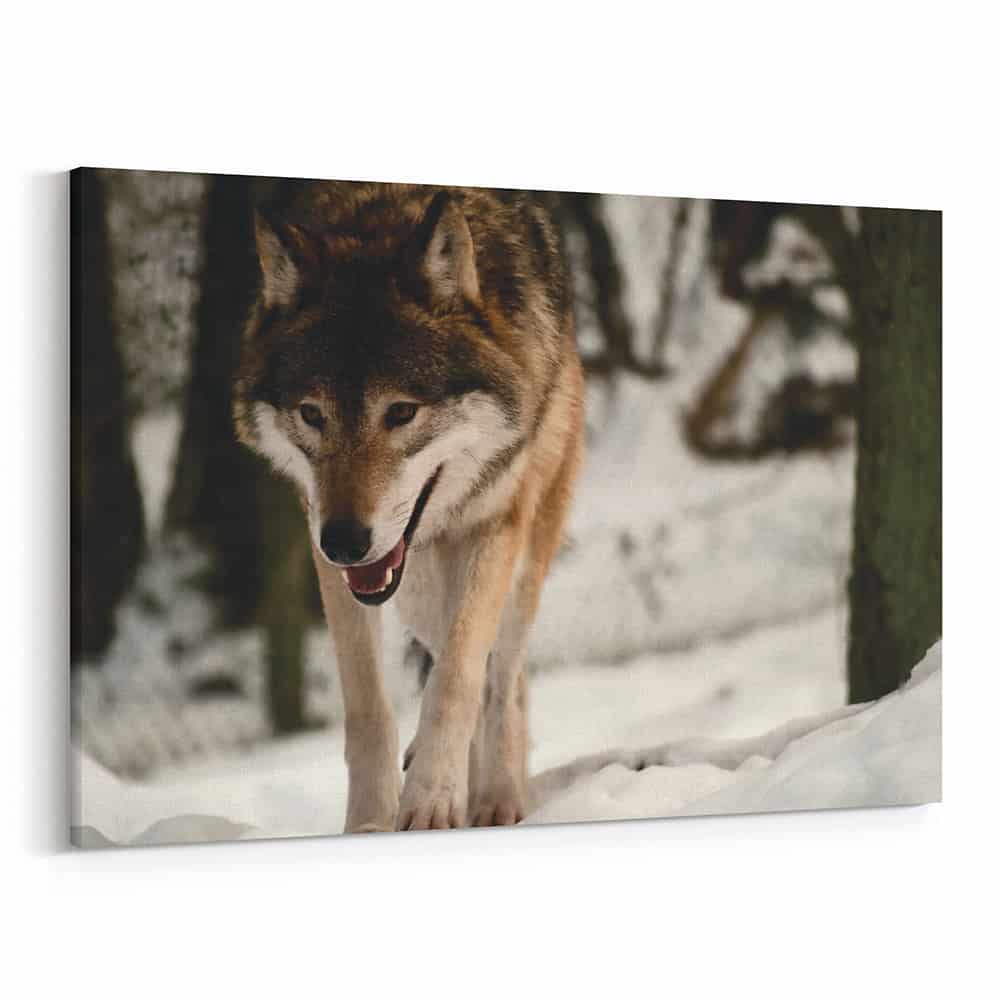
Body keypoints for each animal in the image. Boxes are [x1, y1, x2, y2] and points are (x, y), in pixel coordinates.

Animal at [234, 181, 584, 832]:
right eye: (312, 414)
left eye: (401, 412)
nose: (345, 541)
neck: (382, 214)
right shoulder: (331, 556)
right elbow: (369, 707)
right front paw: (372, 822)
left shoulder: (495, 526)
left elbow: (458, 680)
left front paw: (431, 802)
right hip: (416, 590)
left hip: (524, 554)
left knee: (504, 674)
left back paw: (498, 798)